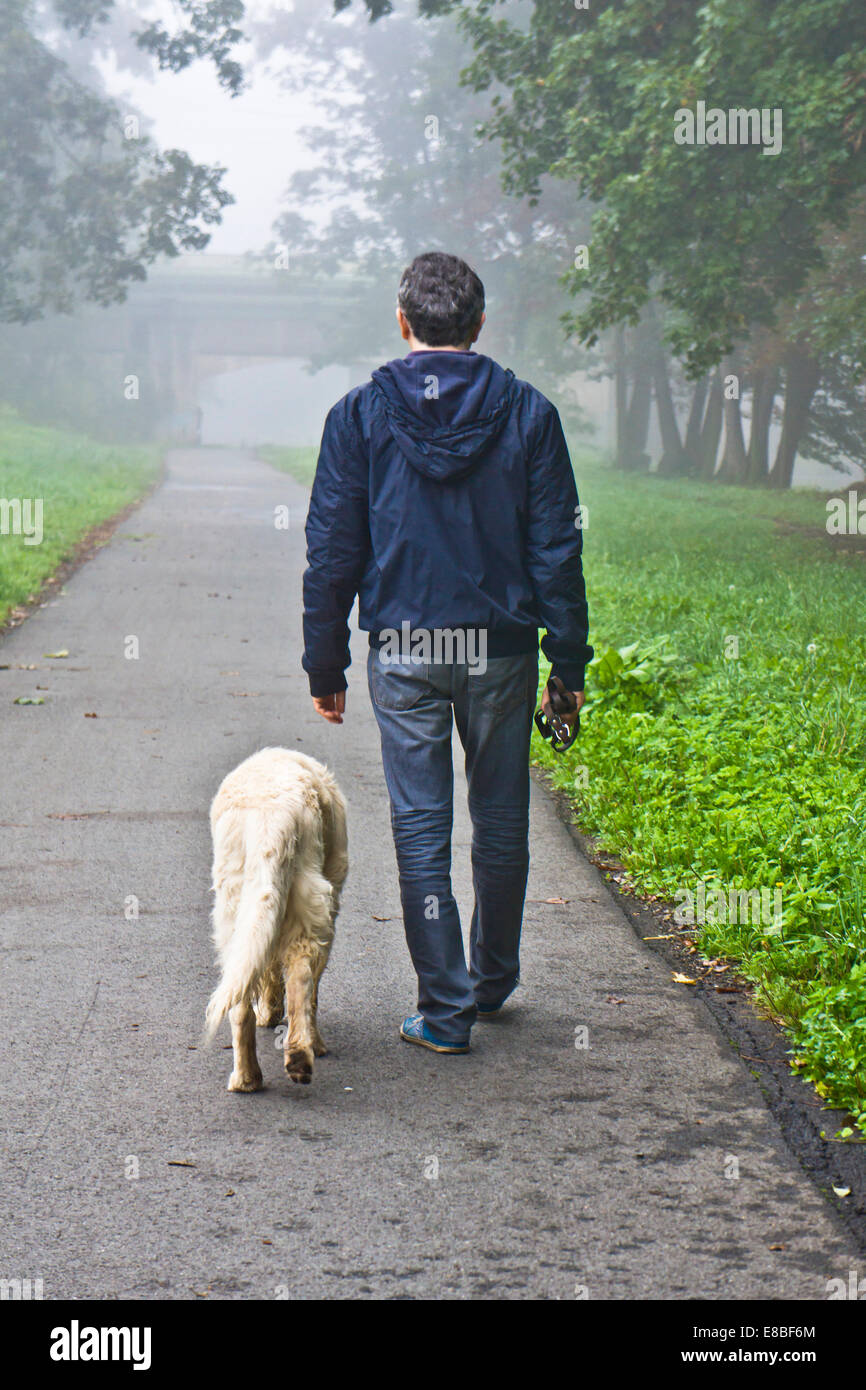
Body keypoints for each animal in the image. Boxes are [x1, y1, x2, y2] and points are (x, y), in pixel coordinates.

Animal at [204, 745, 347, 1089]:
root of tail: (271, 817)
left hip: (239, 906)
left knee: (243, 999)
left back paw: (249, 1077)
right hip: (310, 903)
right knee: (301, 978)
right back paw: (301, 1054)